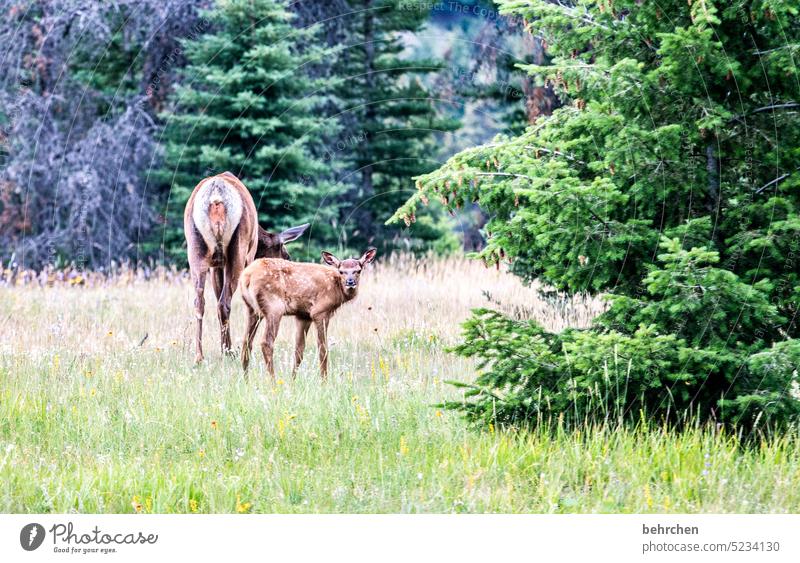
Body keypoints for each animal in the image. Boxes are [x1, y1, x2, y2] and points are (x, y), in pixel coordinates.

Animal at [185, 172, 310, 364]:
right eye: (286, 256)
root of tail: (216, 196)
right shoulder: (248, 256)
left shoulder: (216, 266)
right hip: (237, 250)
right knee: (224, 303)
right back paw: (231, 352)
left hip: (195, 251)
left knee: (201, 302)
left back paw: (200, 356)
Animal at [238, 247, 378, 378]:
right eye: (341, 271)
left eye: (358, 271)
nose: (350, 282)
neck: (336, 289)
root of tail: (246, 277)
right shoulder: (320, 311)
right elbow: (323, 348)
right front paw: (324, 381)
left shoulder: (303, 315)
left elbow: (299, 350)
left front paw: (293, 380)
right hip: (274, 307)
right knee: (266, 342)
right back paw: (273, 381)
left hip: (252, 309)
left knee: (246, 342)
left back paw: (246, 380)